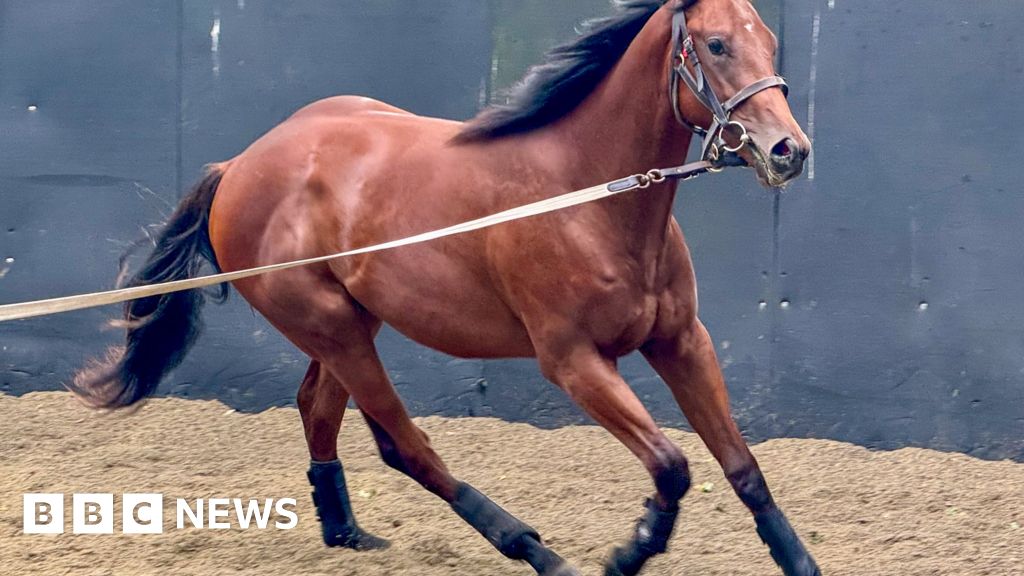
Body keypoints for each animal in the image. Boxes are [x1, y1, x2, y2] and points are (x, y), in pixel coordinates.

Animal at [74, 1, 815, 573]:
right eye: (716, 44)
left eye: (768, 38)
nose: (789, 150)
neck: (587, 196)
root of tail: (238, 166)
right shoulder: (573, 362)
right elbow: (671, 465)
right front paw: (628, 552)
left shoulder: (682, 341)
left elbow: (742, 467)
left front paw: (798, 561)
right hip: (331, 328)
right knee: (406, 445)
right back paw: (534, 550)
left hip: (351, 323)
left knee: (319, 411)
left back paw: (347, 534)